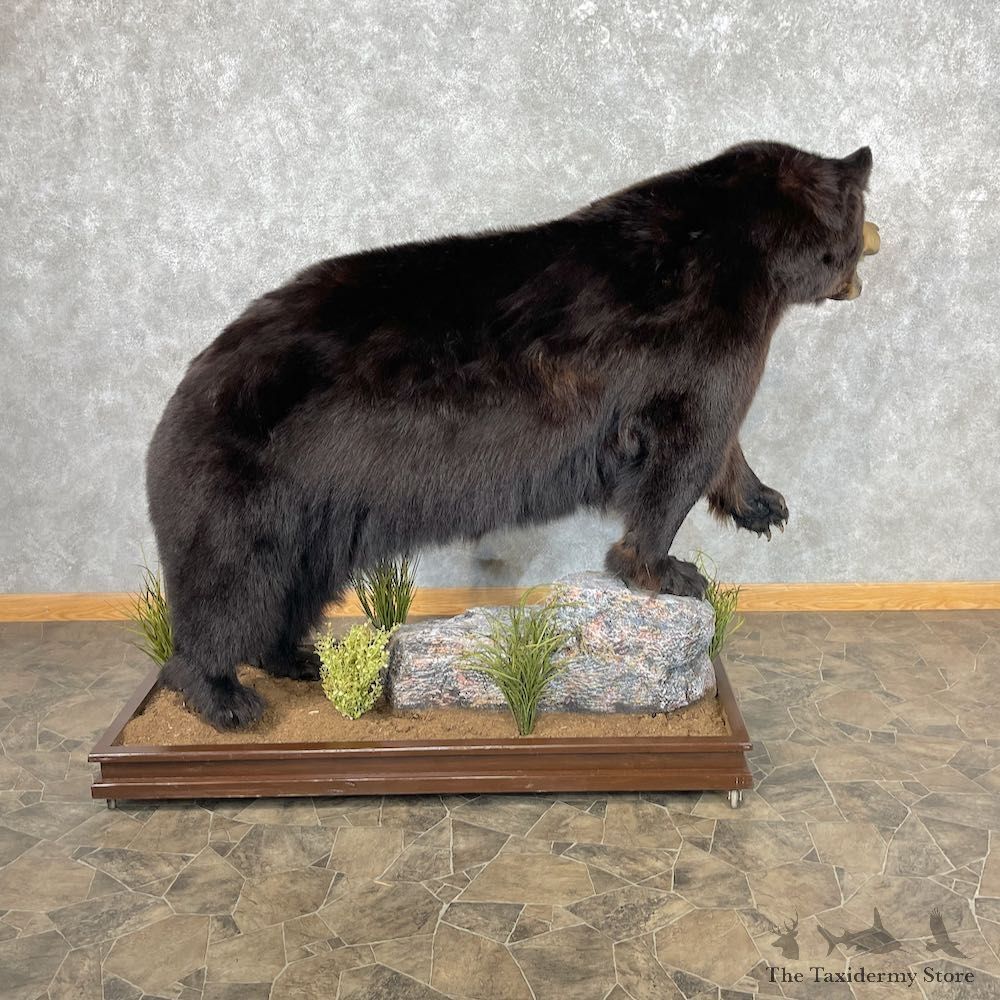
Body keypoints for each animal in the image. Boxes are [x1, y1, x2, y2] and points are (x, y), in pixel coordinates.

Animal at [147, 140, 873, 729]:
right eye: (863, 208)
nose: (865, 262)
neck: (747, 250)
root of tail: (187, 387)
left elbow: (720, 441)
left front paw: (764, 505)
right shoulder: (702, 333)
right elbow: (685, 446)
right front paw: (666, 569)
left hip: (312, 512)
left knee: (293, 586)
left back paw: (296, 657)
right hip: (252, 486)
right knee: (229, 588)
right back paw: (224, 696)